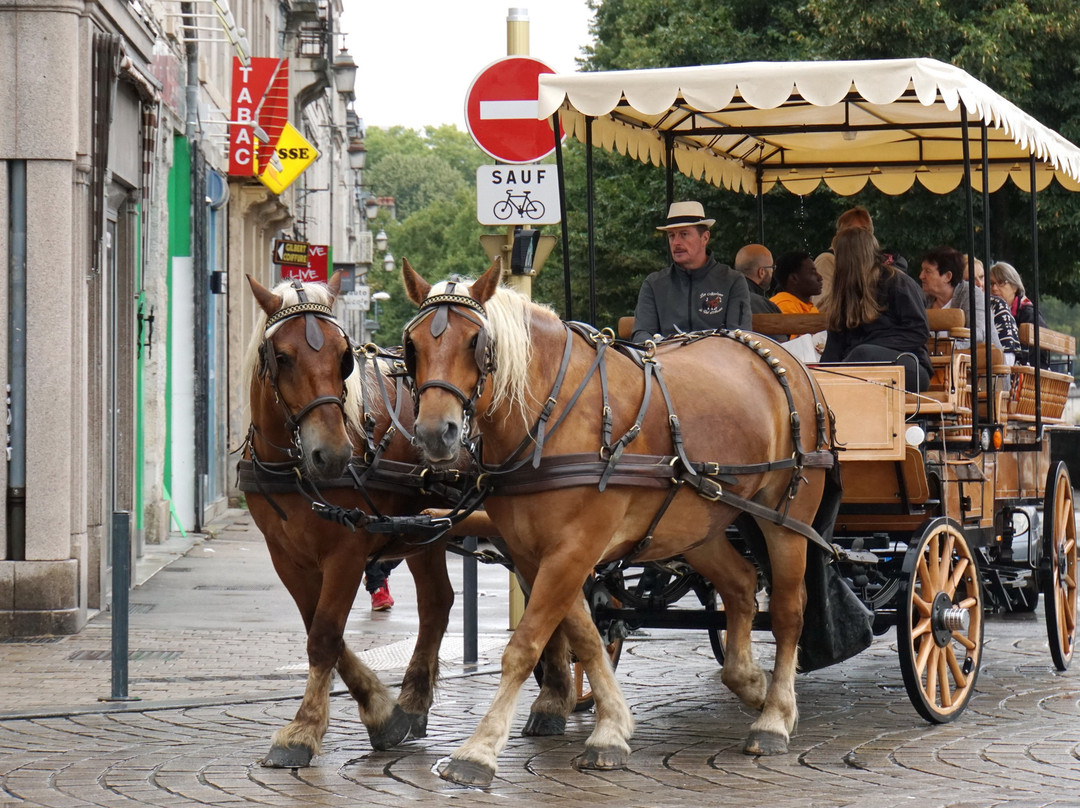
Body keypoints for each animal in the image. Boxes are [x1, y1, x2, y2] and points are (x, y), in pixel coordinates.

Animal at [244, 274, 587, 769]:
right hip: (427, 532)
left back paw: (553, 701)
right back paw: (417, 702)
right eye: (283, 356)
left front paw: (303, 732)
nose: (332, 454)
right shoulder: (285, 556)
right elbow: (321, 632)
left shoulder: (348, 550)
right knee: (441, 602)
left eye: (342, 357)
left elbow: (325, 636)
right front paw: (382, 713)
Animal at [401, 260, 838, 790]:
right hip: (697, 526)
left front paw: (478, 750)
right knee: (739, 585)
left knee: (790, 609)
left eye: (475, 342)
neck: (551, 415)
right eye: (412, 346)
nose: (434, 433)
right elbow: (586, 638)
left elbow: (525, 646)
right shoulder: (536, 554)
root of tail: (786, 360)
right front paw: (611, 728)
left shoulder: (573, 549)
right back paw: (752, 684)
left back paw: (774, 716)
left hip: (787, 519)